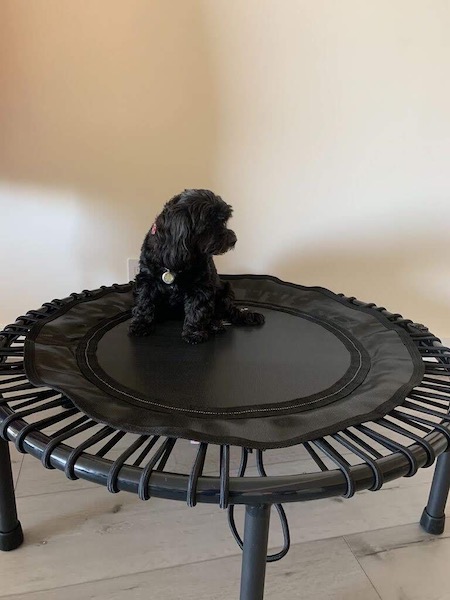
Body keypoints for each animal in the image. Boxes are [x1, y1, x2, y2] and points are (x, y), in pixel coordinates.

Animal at [128, 190, 266, 344]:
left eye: (223, 221)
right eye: (209, 223)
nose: (233, 240)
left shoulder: (201, 286)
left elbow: (197, 309)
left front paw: (194, 333)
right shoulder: (147, 280)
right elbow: (144, 303)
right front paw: (141, 325)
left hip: (225, 291)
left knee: (220, 313)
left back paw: (214, 325)